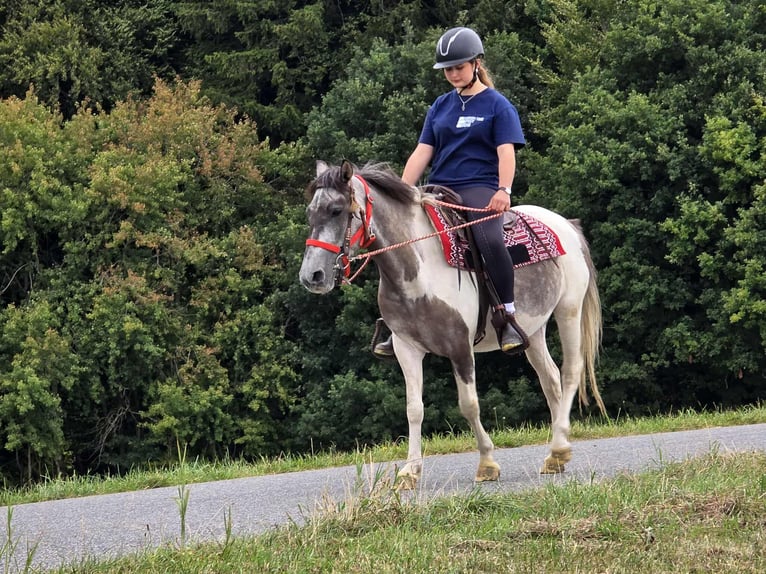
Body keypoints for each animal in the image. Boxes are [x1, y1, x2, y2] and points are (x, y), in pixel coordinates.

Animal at [299, 160, 605, 489]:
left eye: (336, 210)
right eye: (310, 213)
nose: (312, 276)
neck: (418, 270)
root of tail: (567, 226)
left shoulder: (460, 347)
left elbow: (468, 404)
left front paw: (487, 463)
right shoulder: (406, 349)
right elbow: (414, 408)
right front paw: (410, 471)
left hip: (569, 311)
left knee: (570, 372)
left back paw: (559, 447)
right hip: (532, 330)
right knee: (550, 380)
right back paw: (555, 456)